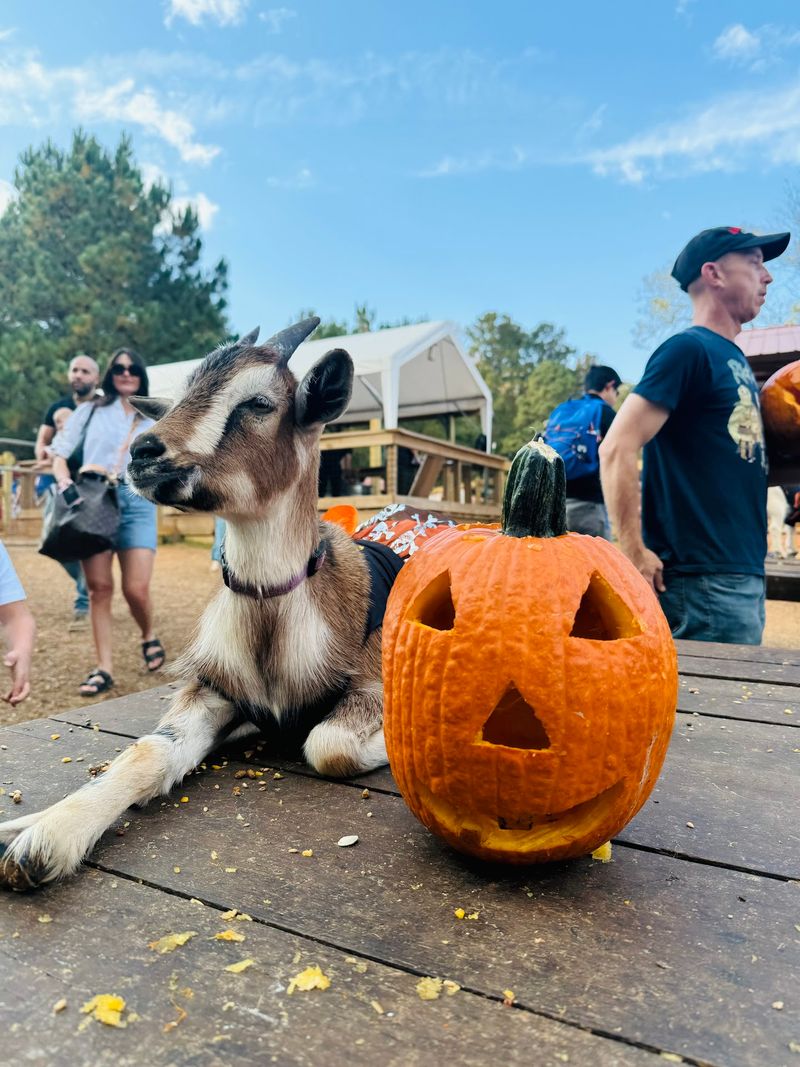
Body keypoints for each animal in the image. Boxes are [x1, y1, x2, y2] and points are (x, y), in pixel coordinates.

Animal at [0, 318, 399, 891]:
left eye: (258, 402)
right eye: (179, 397)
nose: (143, 452)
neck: (270, 623)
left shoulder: (373, 682)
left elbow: (328, 744)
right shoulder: (214, 691)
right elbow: (149, 750)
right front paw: (38, 836)